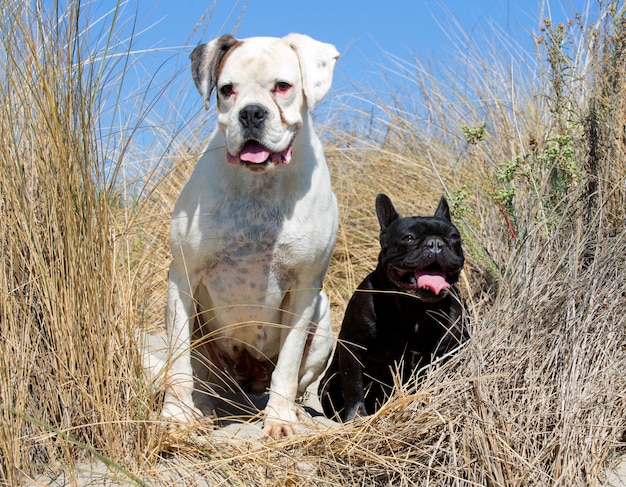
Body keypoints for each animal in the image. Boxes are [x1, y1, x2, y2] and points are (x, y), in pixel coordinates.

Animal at [160, 34, 336, 438]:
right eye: (227, 90)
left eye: (283, 87)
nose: (252, 113)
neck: (258, 185)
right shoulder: (182, 278)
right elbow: (178, 365)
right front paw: (176, 416)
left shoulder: (305, 286)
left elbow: (288, 364)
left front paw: (281, 419)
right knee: (202, 376)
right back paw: (203, 408)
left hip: (324, 326)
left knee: (297, 379)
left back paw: (295, 410)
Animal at [320, 194, 466, 424]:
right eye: (408, 238)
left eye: (454, 237)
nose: (435, 243)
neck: (415, 307)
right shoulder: (353, 347)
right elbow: (353, 386)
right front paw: (356, 416)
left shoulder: (450, 348)